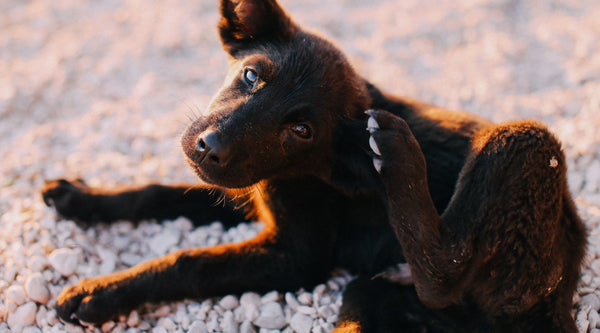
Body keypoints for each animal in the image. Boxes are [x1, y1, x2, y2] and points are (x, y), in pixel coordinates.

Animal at [42, 0, 584, 330]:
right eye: (251, 75)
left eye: (302, 130)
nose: (208, 147)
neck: (306, 171)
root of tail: (564, 286)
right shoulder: (249, 193)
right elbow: (158, 192)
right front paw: (81, 198)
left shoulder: (296, 255)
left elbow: (190, 261)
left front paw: (101, 292)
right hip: (377, 294)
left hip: (524, 144)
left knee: (443, 272)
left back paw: (397, 155)